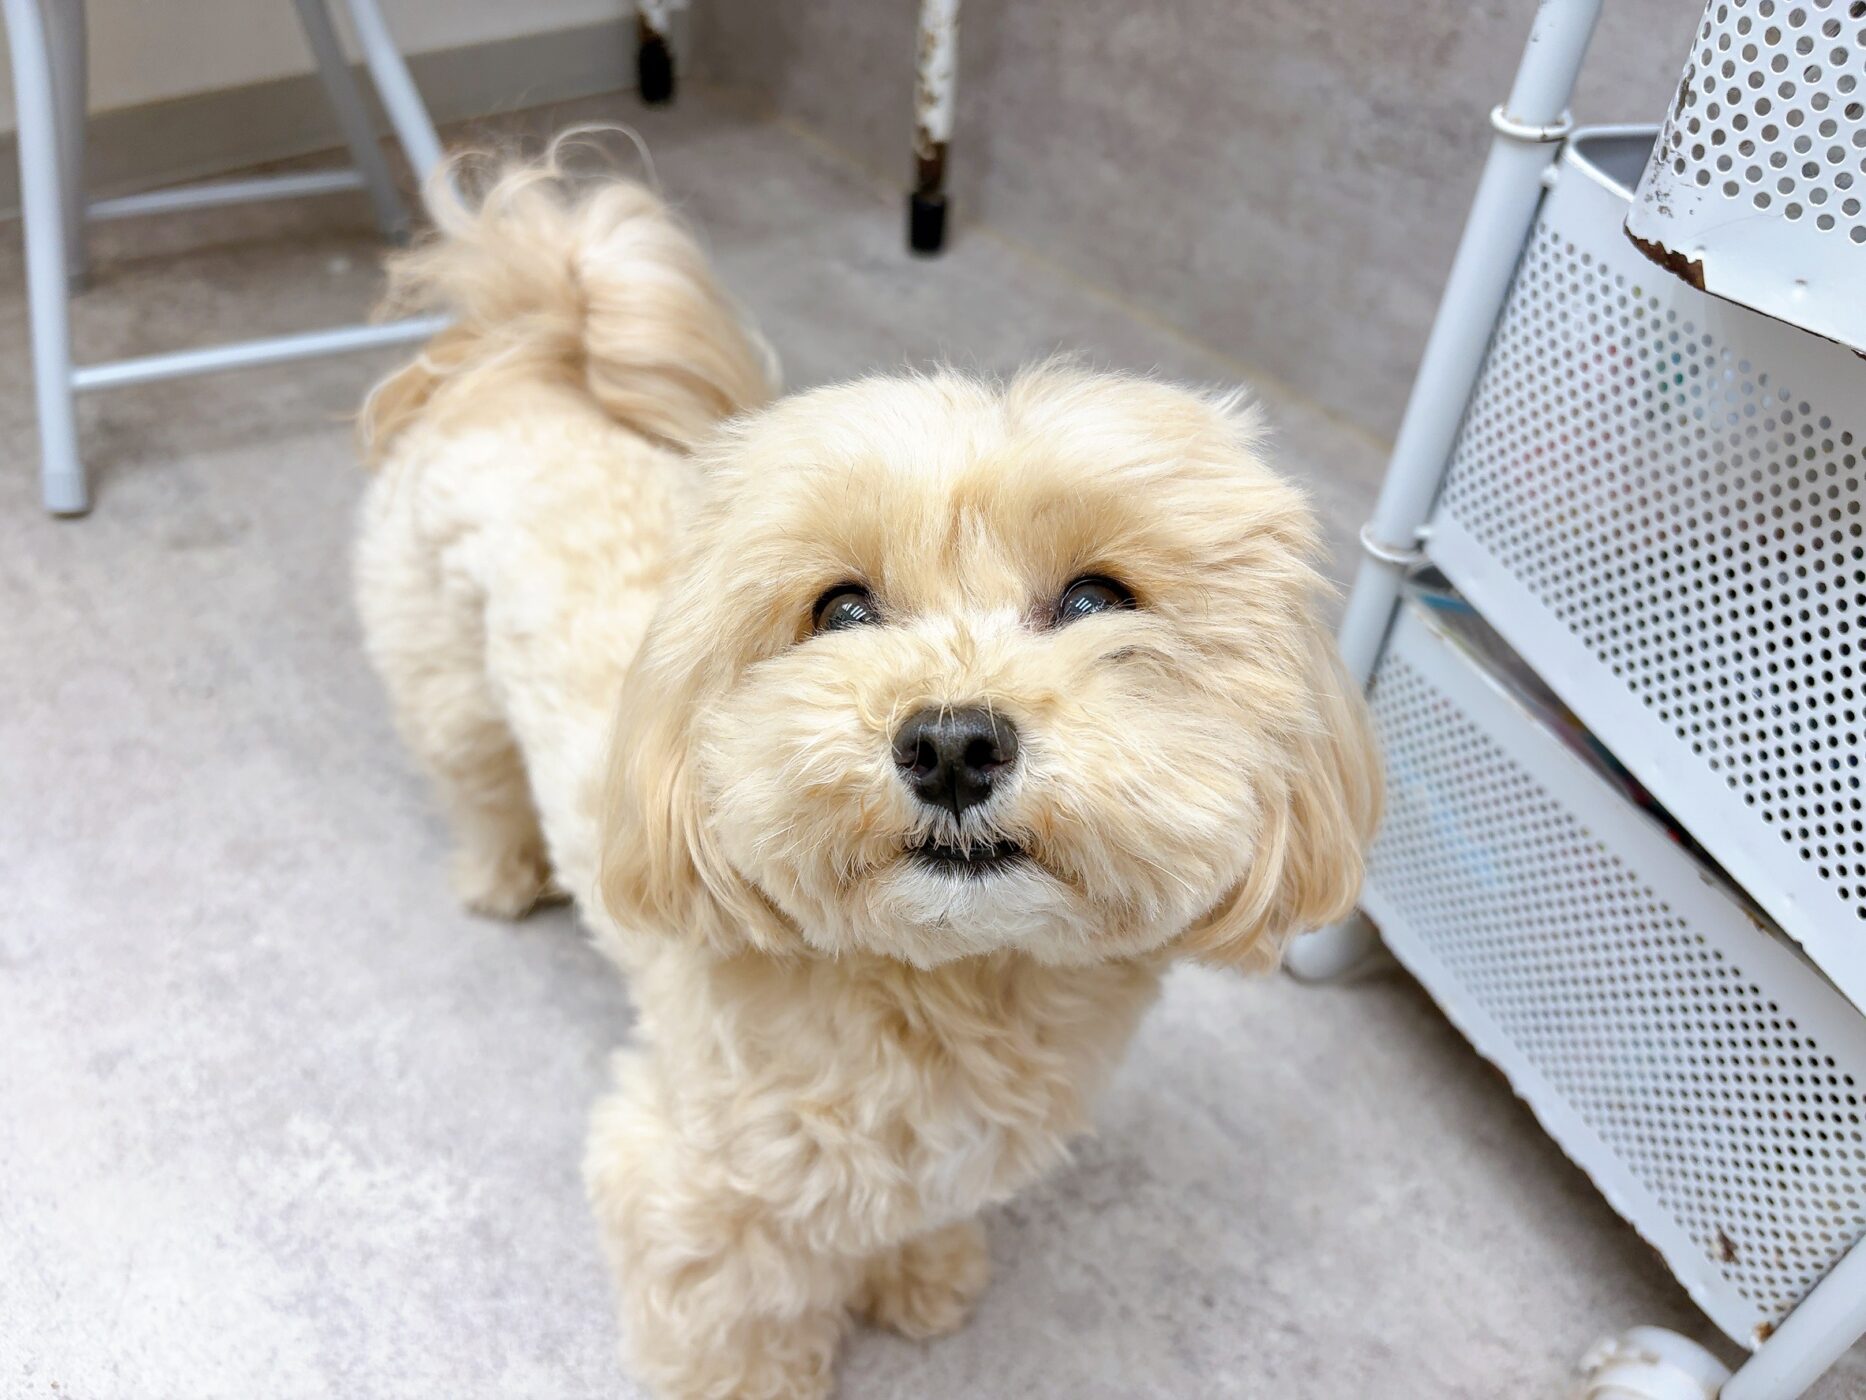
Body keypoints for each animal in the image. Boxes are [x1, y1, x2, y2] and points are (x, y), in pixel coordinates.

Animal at [354, 148, 1381, 1399]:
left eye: (1098, 600)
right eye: (840, 609)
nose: (951, 742)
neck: (944, 983)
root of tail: (528, 360)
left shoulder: (939, 1154)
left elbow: (912, 1217)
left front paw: (922, 1276)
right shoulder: (694, 1186)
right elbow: (734, 1334)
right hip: (443, 682)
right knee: (480, 782)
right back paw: (501, 873)